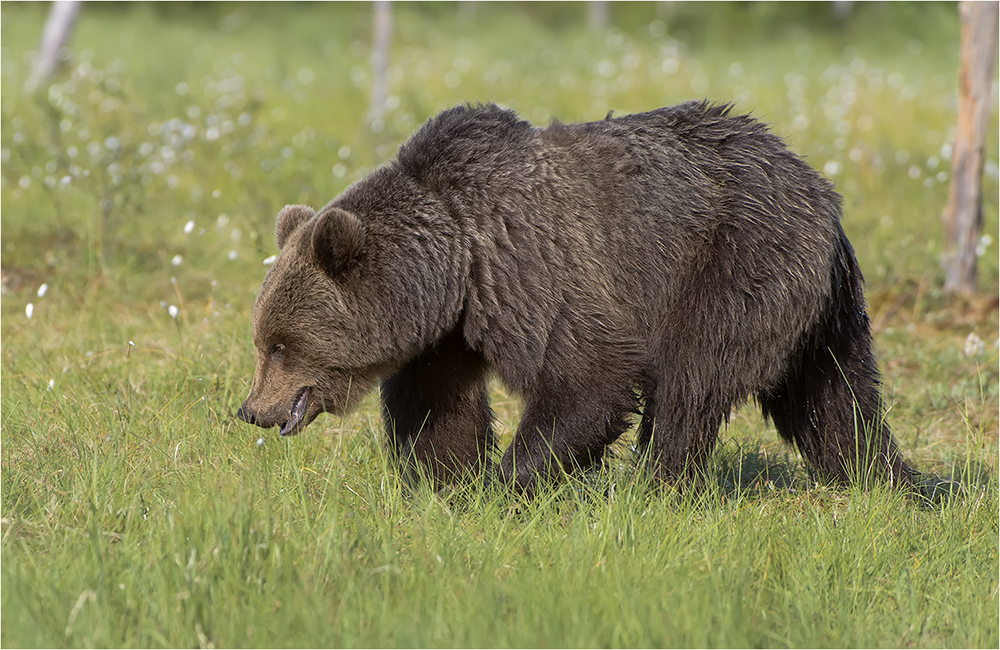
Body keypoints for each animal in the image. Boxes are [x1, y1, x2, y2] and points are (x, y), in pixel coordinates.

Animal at [238, 100, 916, 492]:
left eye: (280, 344)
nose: (250, 409)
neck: (455, 265)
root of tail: (821, 188)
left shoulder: (535, 271)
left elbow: (589, 377)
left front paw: (508, 482)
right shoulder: (452, 331)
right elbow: (436, 407)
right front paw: (445, 480)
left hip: (735, 264)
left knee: (692, 382)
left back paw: (655, 483)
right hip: (818, 309)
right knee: (833, 397)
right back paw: (881, 475)